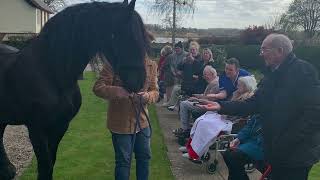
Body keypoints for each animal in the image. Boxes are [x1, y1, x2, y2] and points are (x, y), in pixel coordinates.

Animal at [0, 0, 149, 179]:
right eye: (121, 36)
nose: (138, 81)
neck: (50, 72)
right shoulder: (36, 130)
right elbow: (45, 167)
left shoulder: (60, 126)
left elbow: (51, 164)